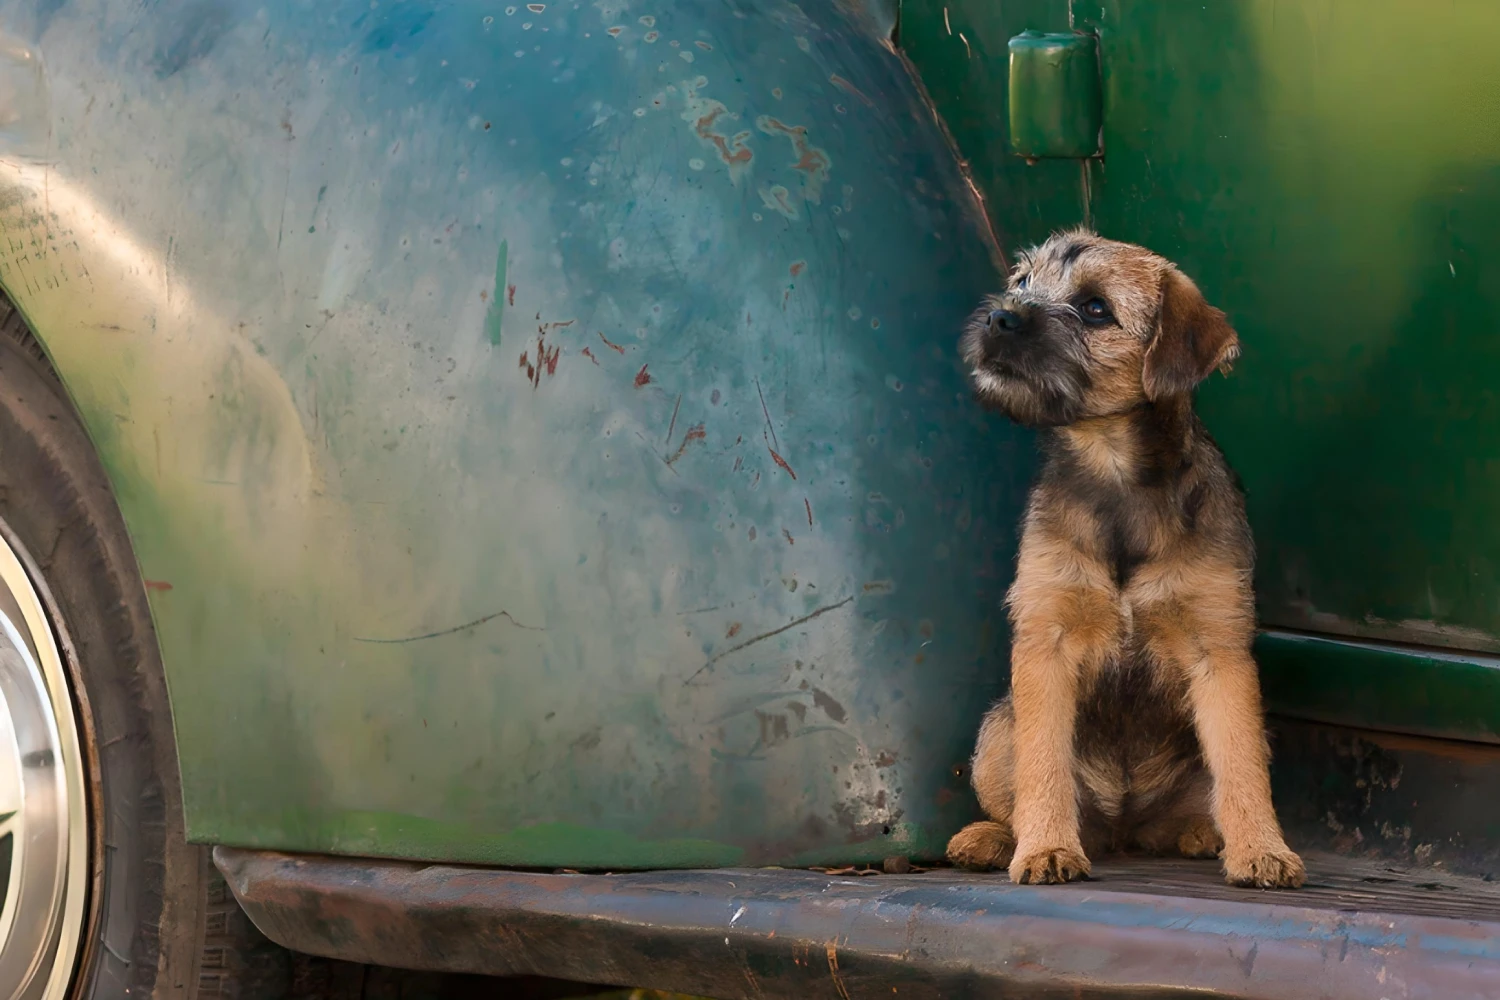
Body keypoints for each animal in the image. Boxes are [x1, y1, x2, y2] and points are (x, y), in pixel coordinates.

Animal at [942, 230, 1308, 887]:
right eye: (1023, 282)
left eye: (1094, 309)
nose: (1000, 316)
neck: (1115, 475)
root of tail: (1121, 825)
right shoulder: (1046, 640)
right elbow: (1043, 763)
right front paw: (1045, 848)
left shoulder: (1219, 651)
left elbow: (1241, 766)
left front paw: (1262, 850)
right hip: (996, 732)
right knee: (1023, 790)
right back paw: (995, 839)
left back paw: (1201, 835)